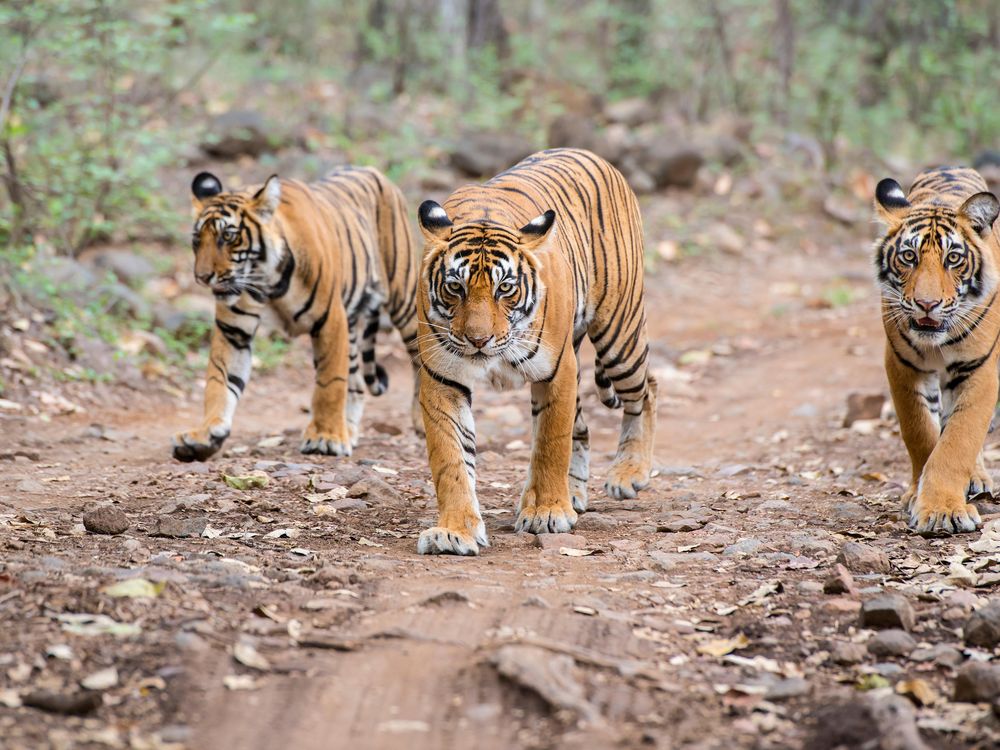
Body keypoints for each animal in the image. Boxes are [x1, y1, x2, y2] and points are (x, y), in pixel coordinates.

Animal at [172, 169, 422, 464]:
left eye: (228, 237)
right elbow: (219, 380)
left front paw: (325, 438)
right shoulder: (233, 331)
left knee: (420, 359)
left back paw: (419, 422)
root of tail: (374, 171)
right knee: (357, 382)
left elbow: (329, 384)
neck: (266, 281)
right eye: (197, 240)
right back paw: (348, 430)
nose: (202, 277)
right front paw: (204, 435)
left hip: (404, 299)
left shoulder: (330, 319)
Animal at [412, 150, 656, 556]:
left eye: (505, 288)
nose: (478, 340)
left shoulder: (556, 371)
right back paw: (575, 493)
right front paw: (454, 531)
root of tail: (592, 155)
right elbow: (451, 460)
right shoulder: (442, 378)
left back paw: (629, 473)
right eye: (455, 287)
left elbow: (550, 444)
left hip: (619, 335)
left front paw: (546, 512)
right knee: (583, 426)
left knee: (646, 389)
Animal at [876, 168, 1000, 536]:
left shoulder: (979, 369)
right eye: (909, 257)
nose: (926, 304)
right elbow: (919, 432)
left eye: (953, 259)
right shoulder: (901, 365)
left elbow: (959, 439)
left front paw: (943, 510)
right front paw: (920, 499)